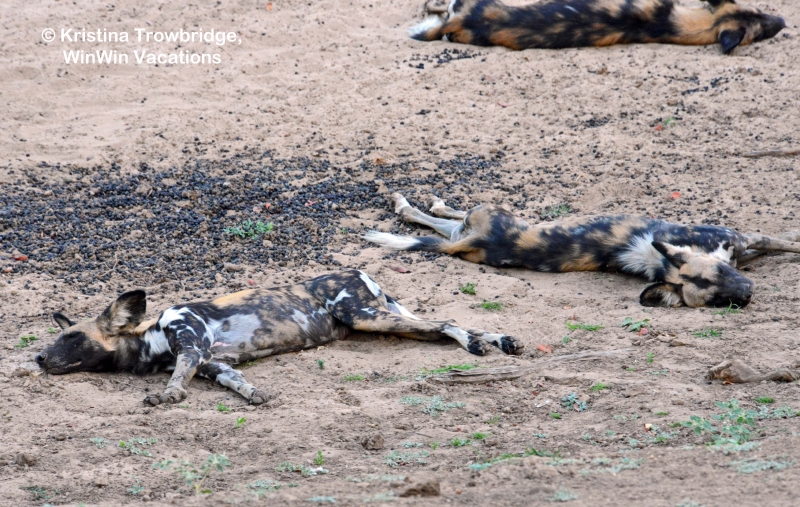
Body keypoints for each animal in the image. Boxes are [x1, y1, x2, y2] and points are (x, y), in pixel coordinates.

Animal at [35, 270, 523, 405]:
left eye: (71, 338)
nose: (38, 358)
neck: (151, 337)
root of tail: (358, 272)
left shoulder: (191, 347)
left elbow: (176, 381)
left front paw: (167, 396)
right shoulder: (213, 364)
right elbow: (237, 383)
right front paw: (255, 395)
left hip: (366, 316)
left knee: (445, 324)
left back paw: (476, 346)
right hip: (379, 316)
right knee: (450, 325)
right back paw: (501, 342)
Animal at [364, 194, 800, 308]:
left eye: (722, 281)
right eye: (716, 299)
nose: (748, 293)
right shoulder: (744, 238)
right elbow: (788, 241)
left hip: (476, 228)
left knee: (443, 223)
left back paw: (410, 205)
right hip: (494, 211)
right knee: (450, 216)